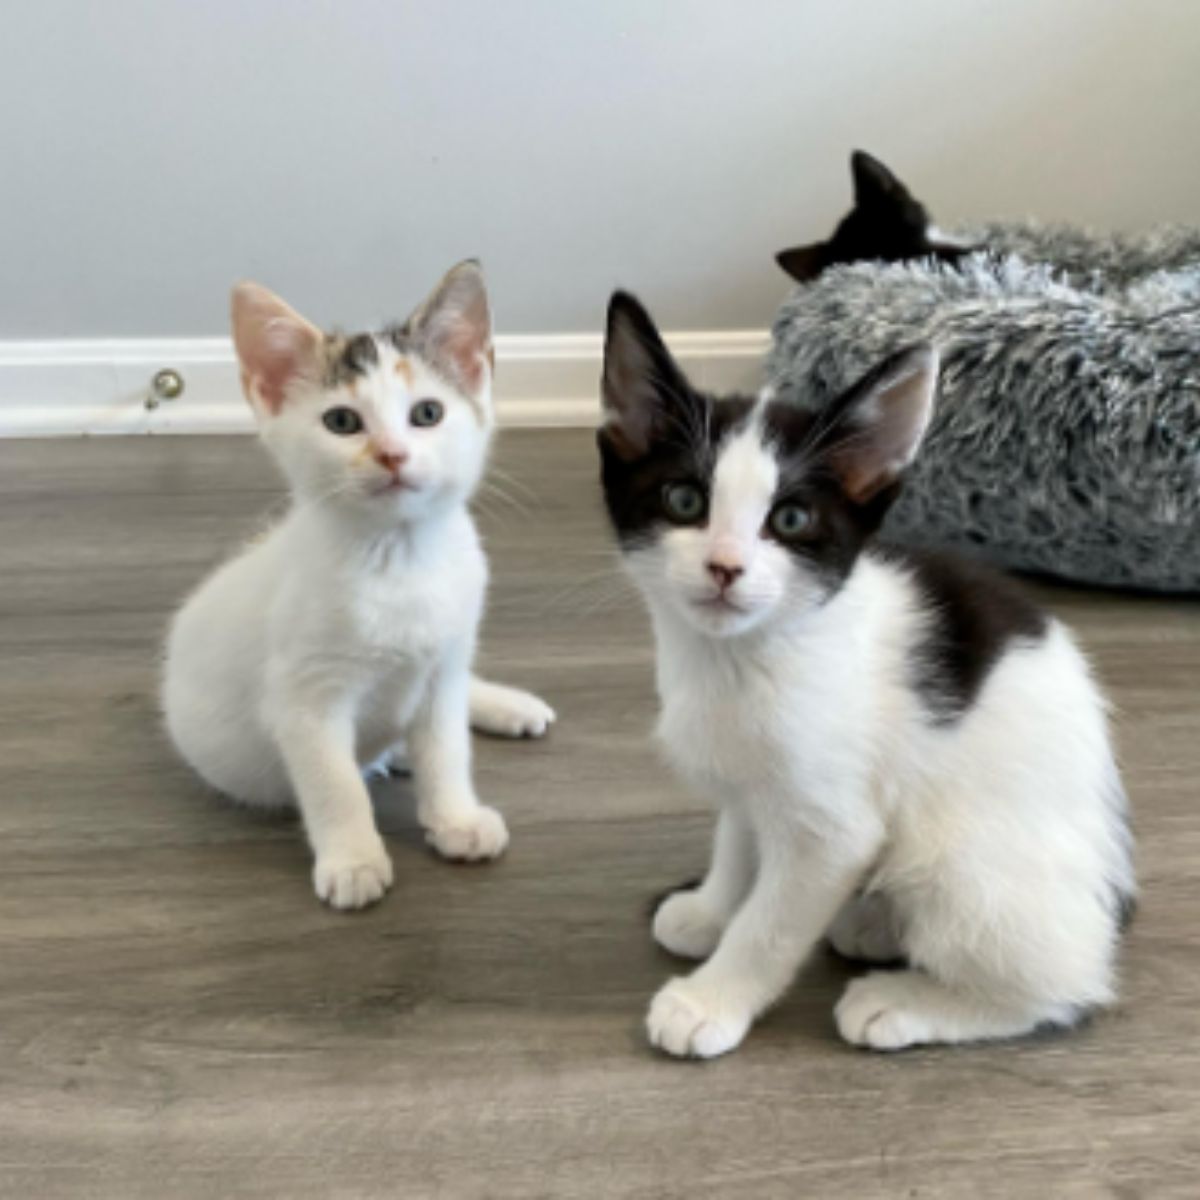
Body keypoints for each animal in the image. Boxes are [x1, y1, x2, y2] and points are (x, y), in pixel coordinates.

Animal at [162, 262, 554, 907]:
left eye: (427, 413)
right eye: (342, 422)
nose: (392, 455)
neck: (400, 559)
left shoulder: (444, 660)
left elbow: (447, 746)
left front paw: (456, 818)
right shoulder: (304, 697)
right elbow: (334, 782)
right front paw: (352, 859)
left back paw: (506, 706)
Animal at [600, 292, 1132, 1060]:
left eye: (791, 518)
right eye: (683, 501)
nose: (725, 567)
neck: (742, 657)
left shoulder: (834, 826)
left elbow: (773, 921)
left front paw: (710, 1000)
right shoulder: (748, 781)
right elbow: (738, 836)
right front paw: (710, 909)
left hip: (970, 863)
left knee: (1062, 983)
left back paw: (907, 1000)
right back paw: (876, 924)